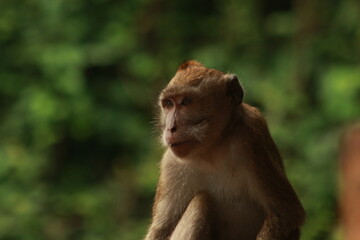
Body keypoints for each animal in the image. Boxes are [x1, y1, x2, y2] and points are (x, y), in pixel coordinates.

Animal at [145, 60, 306, 240]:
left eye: (186, 102)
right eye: (168, 104)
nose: (171, 128)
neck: (211, 150)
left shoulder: (252, 137)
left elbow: (286, 213)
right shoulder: (171, 164)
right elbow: (160, 231)